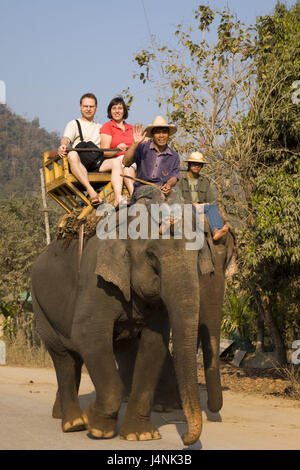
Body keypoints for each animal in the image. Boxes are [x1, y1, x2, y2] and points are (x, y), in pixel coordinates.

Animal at [31, 200, 234, 446]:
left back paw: (63, 415)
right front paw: (96, 425)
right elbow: (87, 335)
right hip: (40, 306)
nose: (185, 437)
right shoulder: (96, 281)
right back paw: (74, 423)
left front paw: (141, 435)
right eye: (151, 256)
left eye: (199, 256)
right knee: (63, 357)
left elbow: (154, 345)